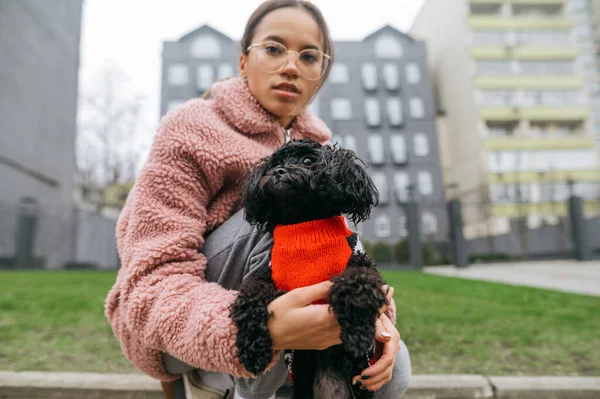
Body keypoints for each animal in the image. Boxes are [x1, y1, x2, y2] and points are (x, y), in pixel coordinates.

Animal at [230, 139, 390, 398]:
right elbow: (250, 297)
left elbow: (357, 285)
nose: (279, 171)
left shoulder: (360, 264)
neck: (305, 229)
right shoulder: (267, 275)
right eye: (275, 164)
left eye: (307, 160)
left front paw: (357, 331)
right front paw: (252, 348)